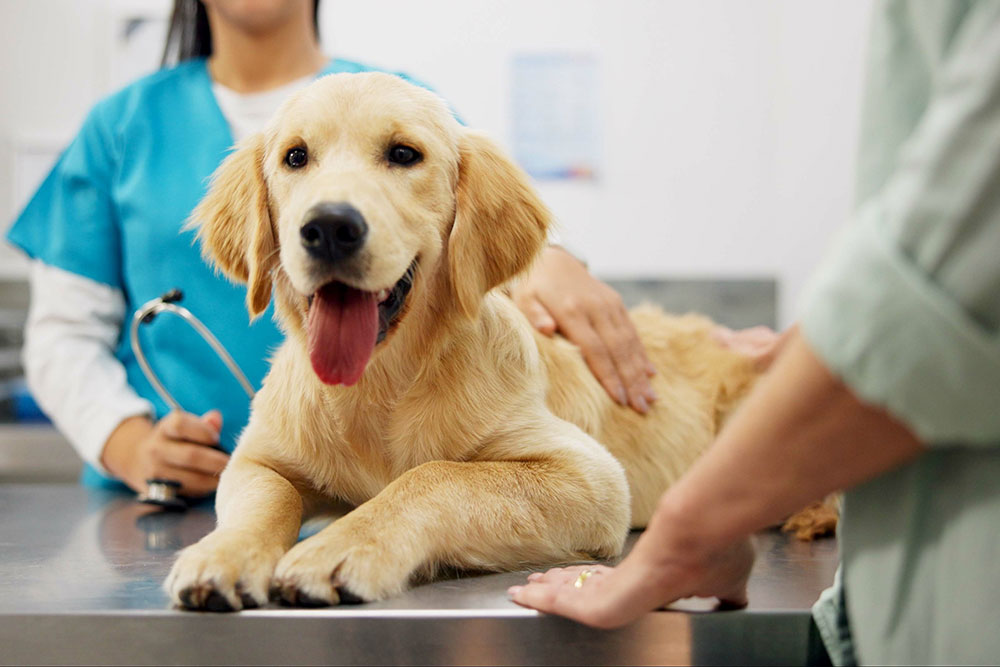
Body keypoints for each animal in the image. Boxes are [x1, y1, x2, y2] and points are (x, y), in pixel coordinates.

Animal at [168, 72, 796, 612]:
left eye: (404, 154)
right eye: (295, 157)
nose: (328, 227)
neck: (380, 385)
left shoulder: (590, 476)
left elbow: (436, 476)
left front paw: (342, 546)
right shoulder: (257, 459)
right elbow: (263, 500)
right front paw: (222, 555)